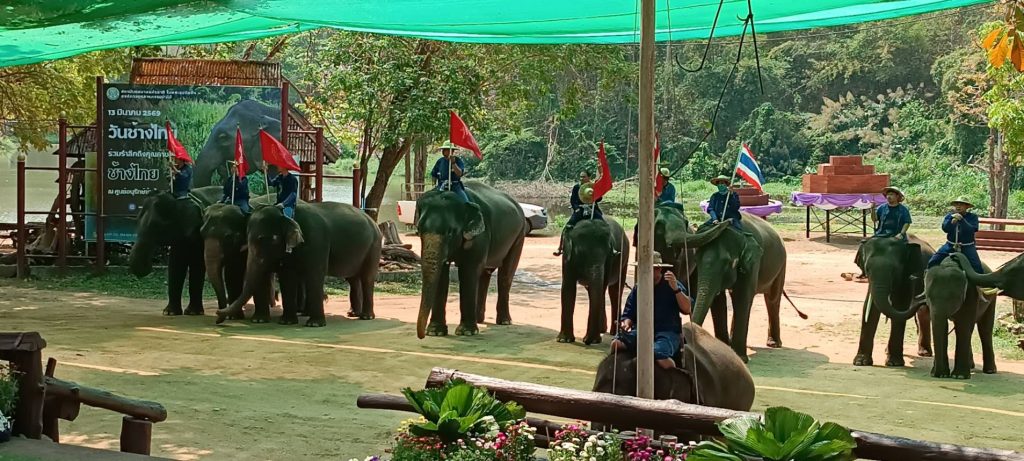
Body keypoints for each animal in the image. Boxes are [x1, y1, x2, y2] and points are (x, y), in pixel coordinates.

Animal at [129, 185, 222, 316]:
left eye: (157, 226)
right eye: (136, 221)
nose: (149, 266)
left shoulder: (200, 233)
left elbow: (197, 264)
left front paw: (192, 312)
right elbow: (175, 264)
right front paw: (169, 313)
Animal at [216, 201, 382, 326]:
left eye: (264, 239)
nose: (218, 315)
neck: (288, 215)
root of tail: (374, 222)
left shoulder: (317, 240)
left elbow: (314, 275)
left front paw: (314, 324)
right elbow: (288, 277)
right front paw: (286, 322)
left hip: (374, 246)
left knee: (366, 278)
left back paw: (366, 317)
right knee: (353, 278)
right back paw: (353, 313)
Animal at [415, 182, 527, 338]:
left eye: (450, 232)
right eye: (419, 230)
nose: (421, 336)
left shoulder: (479, 236)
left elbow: (468, 271)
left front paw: (466, 332)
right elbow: (442, 274)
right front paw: (435, 332)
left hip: (519, 235)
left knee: (505, 274)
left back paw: (504, 322)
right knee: (485, 274)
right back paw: (479, 320)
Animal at [673, 212, 787, 362]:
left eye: (729, 263)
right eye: (696, 259)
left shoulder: (753, 264)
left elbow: (743, 297)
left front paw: (741, 358)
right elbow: (718, 300)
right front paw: (726, 352)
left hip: (782, 264)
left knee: (772, 299)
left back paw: (774, 343)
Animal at [853, 235, 933, 367]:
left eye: (894, 270)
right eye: (867, 269)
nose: (914, 278)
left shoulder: (905, 274)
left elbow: (900, 307)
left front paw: (894, 363)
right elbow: (870, 309)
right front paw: (861, 362)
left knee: (924, 313)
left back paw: (925, 353)